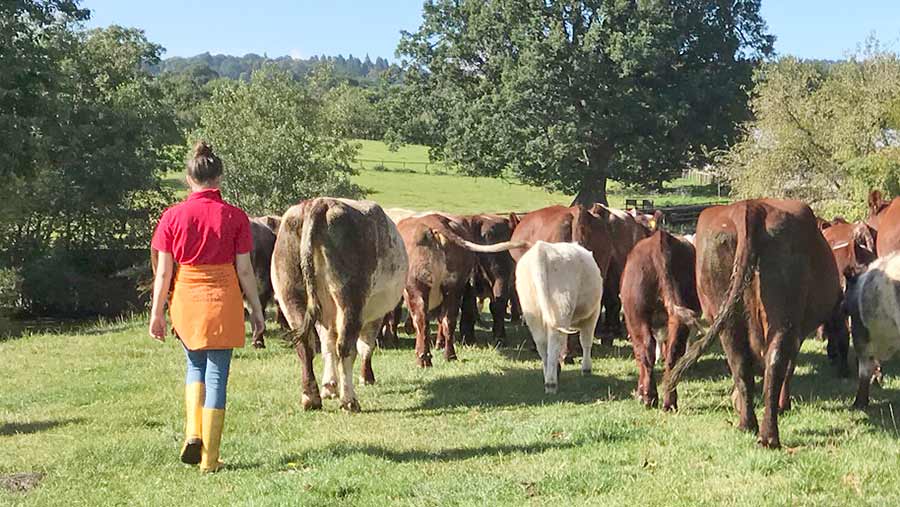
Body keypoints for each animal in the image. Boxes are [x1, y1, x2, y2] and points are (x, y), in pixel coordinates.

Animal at [268, 198, 406, 412]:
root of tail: (319, 203)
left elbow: (327, 346)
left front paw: (329, 386)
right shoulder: (374, 315)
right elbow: (365, 346)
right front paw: (366, 377)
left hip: (290, 294)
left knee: (306, 345)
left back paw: (311, 398)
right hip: (351, 301)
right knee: (345, 347)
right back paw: (349, 400)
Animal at [396, 214, 528, 370]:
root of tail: (434, 225)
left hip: (418, 288)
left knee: (422, 321)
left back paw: (423, 359)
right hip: (461, 286)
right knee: (453, 318)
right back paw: (452, 354)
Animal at [512, 241, 604, 392]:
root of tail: (542, 249)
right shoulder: (593, 314)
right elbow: (586, 341)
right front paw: (586, 369)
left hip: (533, 312)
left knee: (542, 345)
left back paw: (550, 374)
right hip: (560, 307)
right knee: (554, 343)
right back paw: (551, 382)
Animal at [624, 230, 700, 412]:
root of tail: (659, 241)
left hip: (637, 317)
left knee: (645, 350)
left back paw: (648, 398)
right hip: (679, 317)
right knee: (673, 353)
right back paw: (669, 402)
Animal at [660, 200, 844, 450]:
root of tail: (751, 207)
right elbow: (789, 367)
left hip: (726, 315)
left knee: (740, 364)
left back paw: (747, 424)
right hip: (784, 316)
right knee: (776, 364)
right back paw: (769, 434)